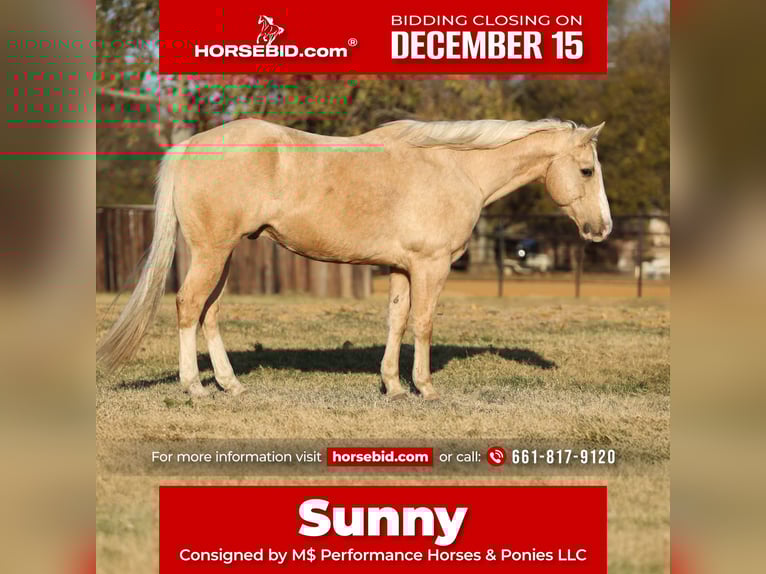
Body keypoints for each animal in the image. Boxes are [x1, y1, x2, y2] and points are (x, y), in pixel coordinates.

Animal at [97, 118, 611, 400]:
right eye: (586, 171)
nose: (602, 228)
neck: (455, 166)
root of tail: (191, 145)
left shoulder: (404, 267)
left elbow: (397, 322)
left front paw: (394, 387)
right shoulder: (431, 265)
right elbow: (423, 323)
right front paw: (424, 387)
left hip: (222, 255)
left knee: (209, 313)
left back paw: (230, 384)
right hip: (212, 251)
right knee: (188, 306)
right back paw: (194, 386)